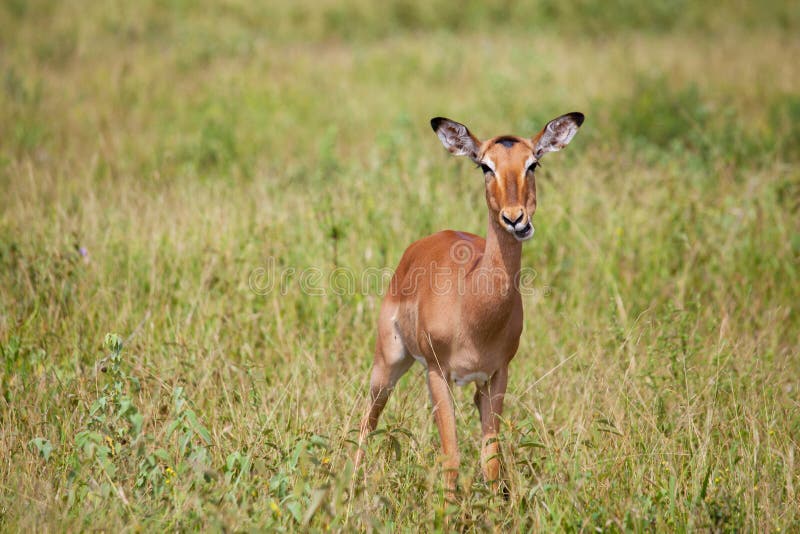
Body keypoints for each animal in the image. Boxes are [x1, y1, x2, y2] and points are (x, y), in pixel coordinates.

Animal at [354, 112, 585, 498]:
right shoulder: (437, 374)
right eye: (485, 166)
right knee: (368, 417)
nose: (515, 219)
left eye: (533, 163)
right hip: (388, 363)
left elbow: (489, 461)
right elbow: (451, 458)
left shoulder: (497, 375)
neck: (473, 309)